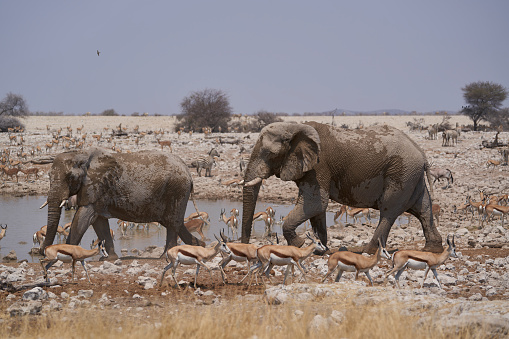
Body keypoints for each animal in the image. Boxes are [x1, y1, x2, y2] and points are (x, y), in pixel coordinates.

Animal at [40, 147, 202, 258]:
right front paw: (110, 258)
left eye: (70, 177)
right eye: (49, 175)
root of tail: (188, 172)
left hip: (176, 189)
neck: (82, 154)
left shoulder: (95, 187)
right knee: (174, 222)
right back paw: (199, 245)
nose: (42, 251)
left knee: (173, 223)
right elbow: (99, 223)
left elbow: (82, 219)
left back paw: (165, 257)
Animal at [240, 122, 442, 255]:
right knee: (422, 208)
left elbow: (316, 203)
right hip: (411, 176)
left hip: (400, 173)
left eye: (270, 154)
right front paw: (320, 250)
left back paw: (368, 250)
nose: (246, 248)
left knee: (388, 211)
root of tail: (421, 153)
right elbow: (317, 209)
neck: (295, 126)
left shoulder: (319, 166)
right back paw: (432, 249)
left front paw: (299, 244)